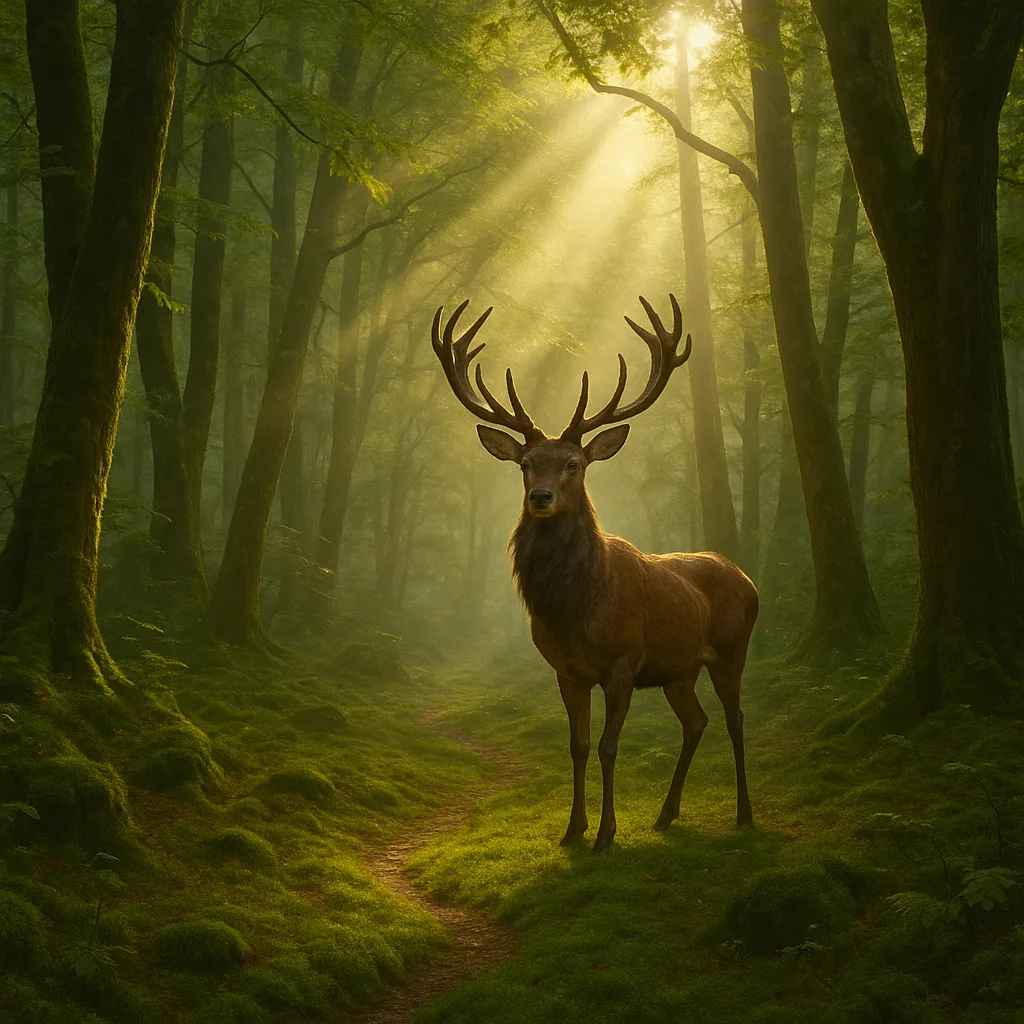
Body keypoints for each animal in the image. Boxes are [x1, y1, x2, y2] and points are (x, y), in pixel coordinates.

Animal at [432, 295, 758, 852]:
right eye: (525, 463)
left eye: (575, 464)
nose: (541, 497)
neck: (577, 609)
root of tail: (750, 580)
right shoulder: (567, 670)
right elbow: (579, 745)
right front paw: (572, 830)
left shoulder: (624, 661)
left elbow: (608, 746)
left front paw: (606, 834)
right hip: (679, 669)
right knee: (697, 722)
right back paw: (665, 815)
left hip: (731, 649)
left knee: (735, 719)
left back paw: (743, 814)